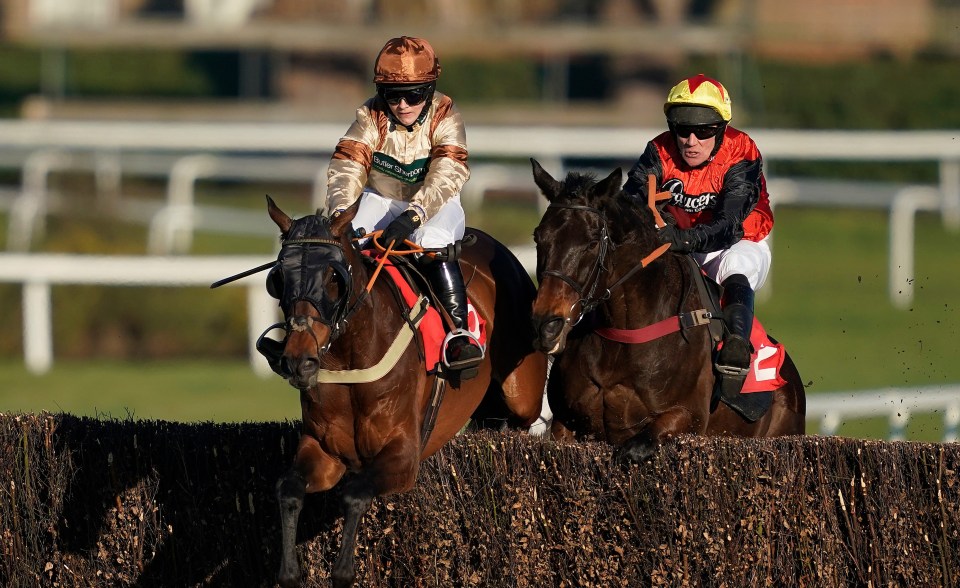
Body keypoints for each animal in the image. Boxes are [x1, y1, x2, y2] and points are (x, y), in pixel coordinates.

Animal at [255, 196, 544, 584]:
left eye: (334, 278)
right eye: (279, 278)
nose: (298, 360)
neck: (352, 356)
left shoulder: (404, 456)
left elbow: (356, 494)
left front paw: (344, 571)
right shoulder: (324, 450)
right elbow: (288, 489)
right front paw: (288, 572)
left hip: (521, 393)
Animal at [528, 160, 808, 464]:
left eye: (592, 242)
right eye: (538, 237)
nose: (547, 325)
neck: (624, 334)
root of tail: (791, 378)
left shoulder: (688, 417)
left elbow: (635, 447)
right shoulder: (565, 421)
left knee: (736, 270)